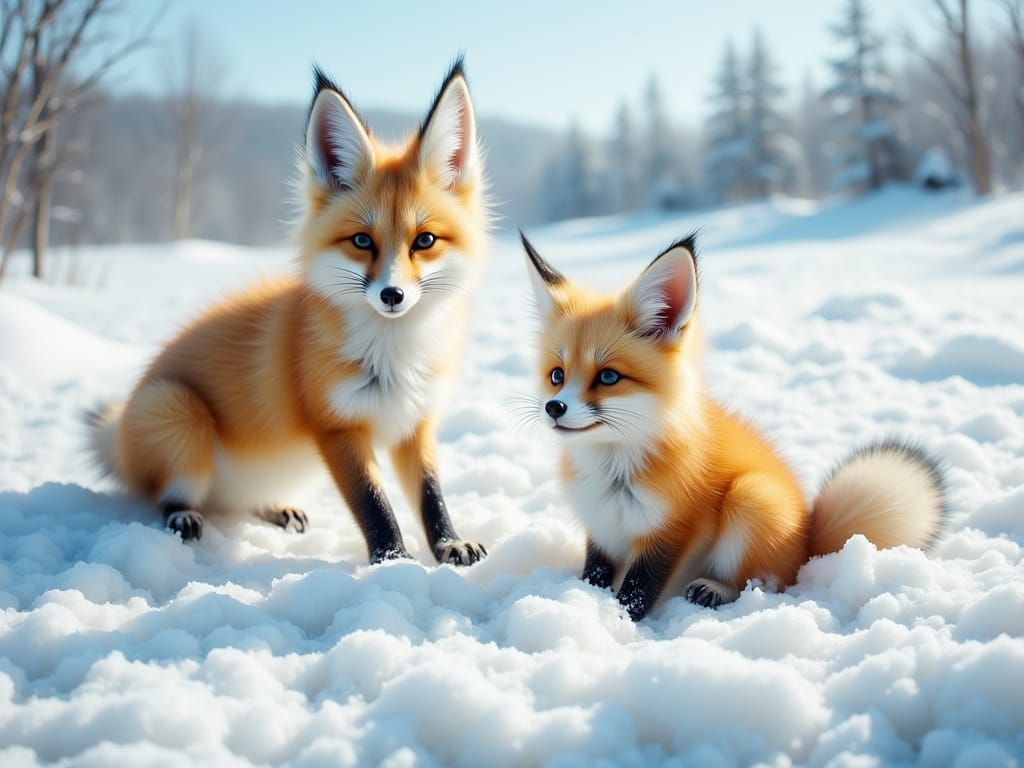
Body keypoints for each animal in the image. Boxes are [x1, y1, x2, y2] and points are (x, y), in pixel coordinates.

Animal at [87, 59, 489, 566]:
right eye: (362, 241)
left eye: (425, 240)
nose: (392, 295)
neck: (394, 358)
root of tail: (119, 431)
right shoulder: (337, 428)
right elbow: (374, 504)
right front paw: (393, 562)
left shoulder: (414, 423)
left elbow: (431, 497)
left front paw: (449, 544)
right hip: (178, 411)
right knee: (170, 495)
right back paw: (183, 515)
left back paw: (276, 508)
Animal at [520, 232, 946, 619]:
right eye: (557, 375)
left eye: (608, 377)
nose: (554, 407)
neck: (613, 473)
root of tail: (808, 540)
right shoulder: (602, 528)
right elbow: (594, 574)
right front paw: (583, 601)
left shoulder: (672, 531)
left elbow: (640, 589)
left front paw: (617, 619)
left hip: (750, 497)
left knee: (766, 583)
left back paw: (717, 590)